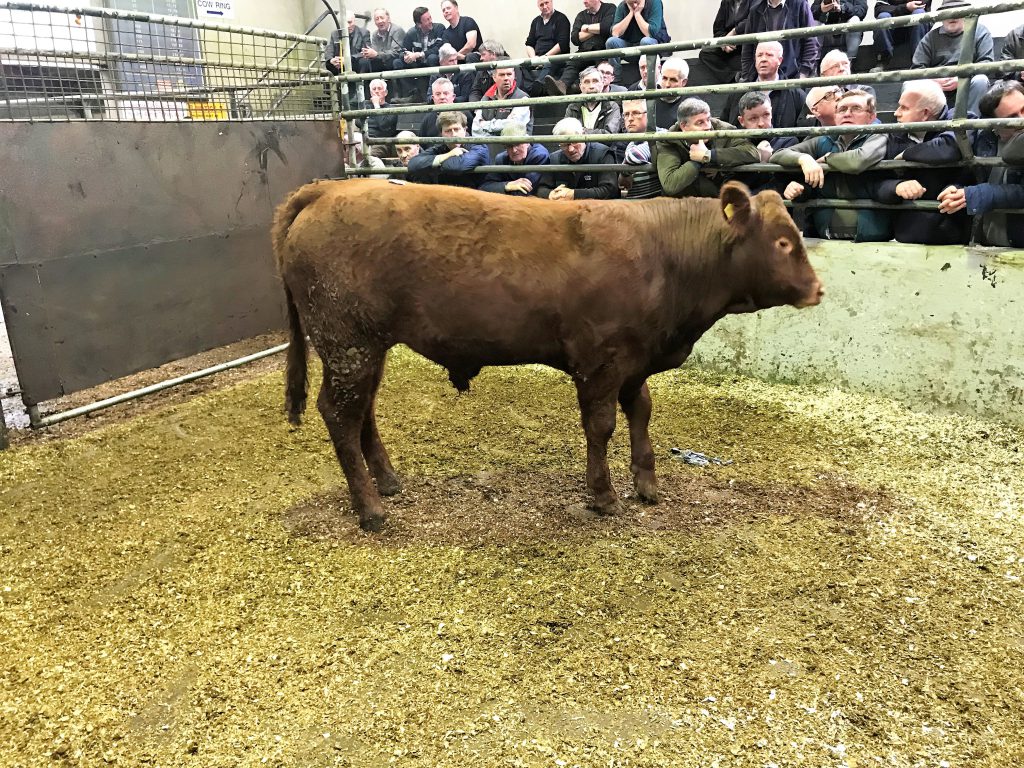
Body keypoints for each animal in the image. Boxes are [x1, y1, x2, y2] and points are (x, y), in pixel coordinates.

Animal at [272, 178, 823, 532]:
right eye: (782, 242)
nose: (818, 289)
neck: (664, 255)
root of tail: (329, 188)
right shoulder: (600, 360)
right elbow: (601, 425)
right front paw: (602, 495)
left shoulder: (635, 359)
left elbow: (641, 411)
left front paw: (646, 483)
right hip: (346, 342)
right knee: (339, 413)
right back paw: (370, 509)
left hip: (368, 346)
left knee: (363, 410)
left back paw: (387, 482)